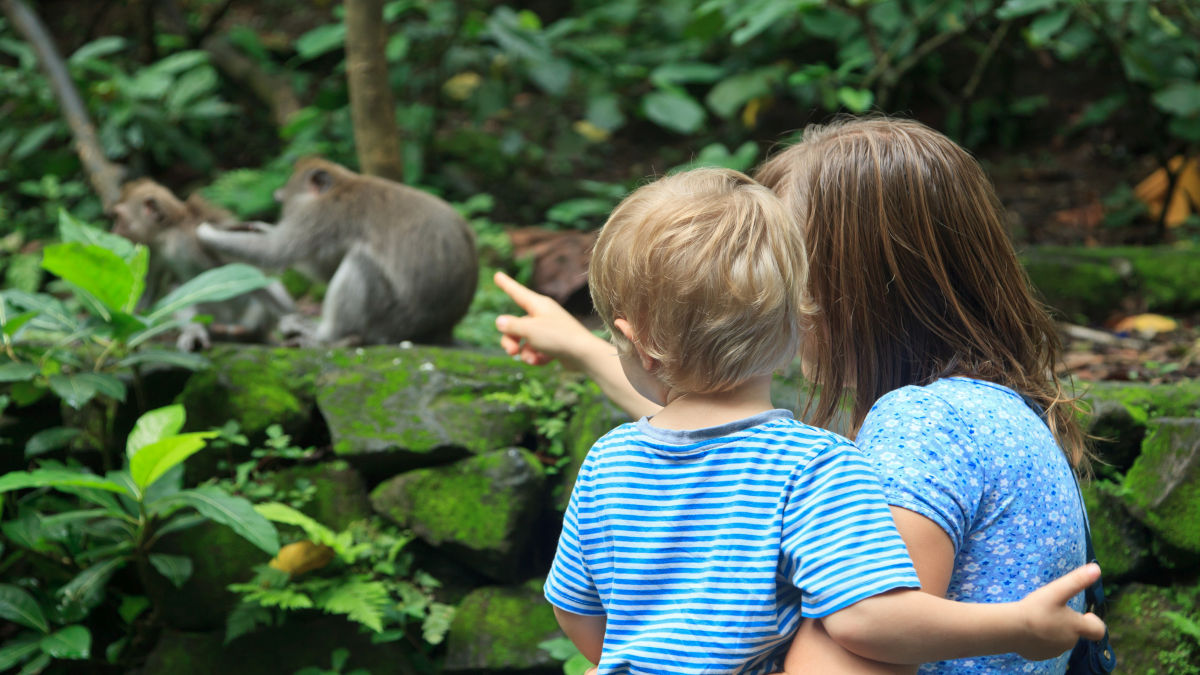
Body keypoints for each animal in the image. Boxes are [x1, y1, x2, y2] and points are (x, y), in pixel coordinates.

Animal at [111, 178, 297, 348]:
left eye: (119, 217)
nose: (114, 231)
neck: (168, 237)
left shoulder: (196, 237)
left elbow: (248, 272)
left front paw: (293, 321)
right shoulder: (154, 252)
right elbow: (150, 287)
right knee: (177, 287)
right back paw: (196, 332)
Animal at [195, 157, 477, 343]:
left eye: (284, 201)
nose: (280, 208)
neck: (343, 183)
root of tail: (441, 331)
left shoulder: (322, 215)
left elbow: (277, 251)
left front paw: (208, 233)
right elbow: (323, 268)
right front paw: (257, 227)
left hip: (392, 323)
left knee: (360, 263)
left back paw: (325, 336)